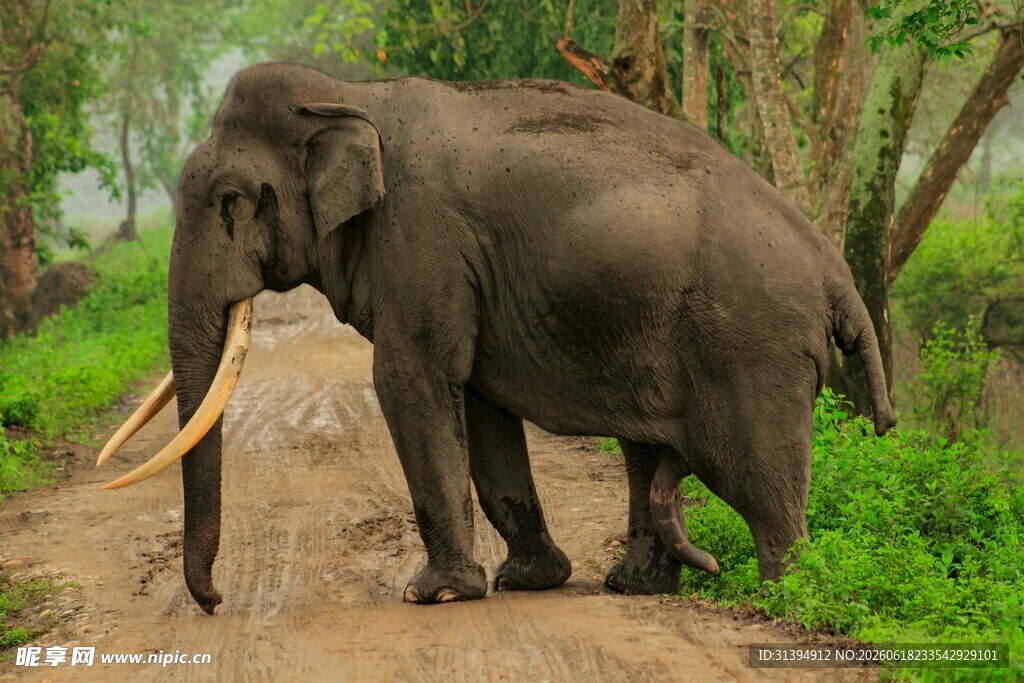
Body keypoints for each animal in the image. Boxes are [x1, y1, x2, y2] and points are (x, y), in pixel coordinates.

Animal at [97, 62, 896, 615]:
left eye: (230, 201)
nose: (215, 602)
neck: (351, 94)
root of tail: (837, 273)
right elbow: (478, 400)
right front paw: (529, 581)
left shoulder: (422, 239)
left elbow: (411, 378)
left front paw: (436, 594)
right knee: (649, 453)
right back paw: (636, 586)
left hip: (754, 346)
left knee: (757, 476)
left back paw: (785, 596)